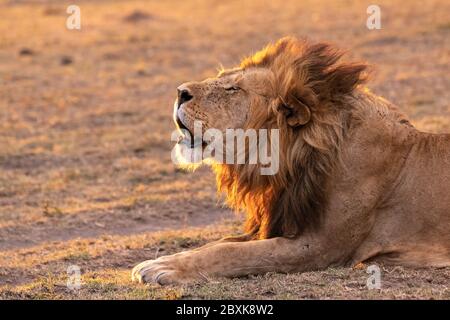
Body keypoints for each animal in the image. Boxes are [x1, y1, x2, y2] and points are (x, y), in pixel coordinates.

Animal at [132, 36, 448, 284]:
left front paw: (164, 268)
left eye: (233, 89)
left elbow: (233, 252)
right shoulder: (281, 221)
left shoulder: (322, 246)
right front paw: (161, 261)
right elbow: (217, 243)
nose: (179, 92)